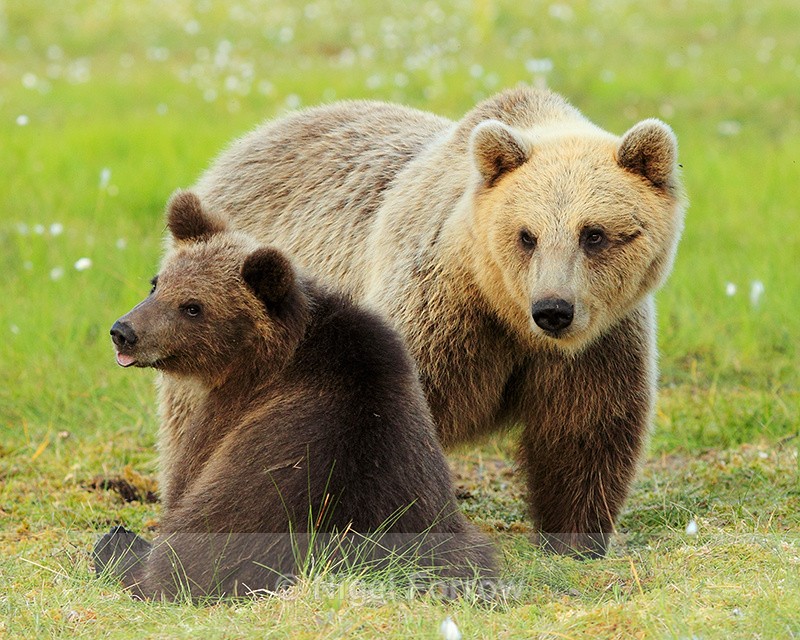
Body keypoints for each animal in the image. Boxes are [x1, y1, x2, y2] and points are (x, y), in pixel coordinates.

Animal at [94, 190, 497, 600]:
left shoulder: (226, 416)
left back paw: (117, 543)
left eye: (193, 306)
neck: (266, 356)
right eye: (156, 284)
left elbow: (183, 477)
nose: (124, 331)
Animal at [189, 86, 687, 558]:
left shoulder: (599, 345)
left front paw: (575, 539)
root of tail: (246, 141)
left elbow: (585, 434)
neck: (501, 308)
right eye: (527, 235)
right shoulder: (436, 315)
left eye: (594, 234)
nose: (553, 309)